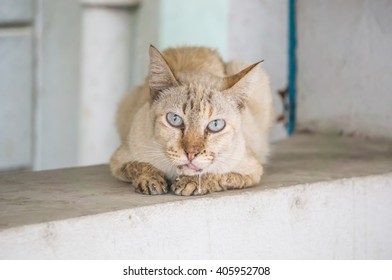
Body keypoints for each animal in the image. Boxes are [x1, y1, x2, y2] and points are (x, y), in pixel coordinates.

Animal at [108, 44, 274, 196]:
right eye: (174, 119)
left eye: (215, 125)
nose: (191, 154)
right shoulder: (118, 160)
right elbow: (139, 165)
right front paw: (151, 180)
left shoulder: (252, 170)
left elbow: (215, 174)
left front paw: (190, 183)